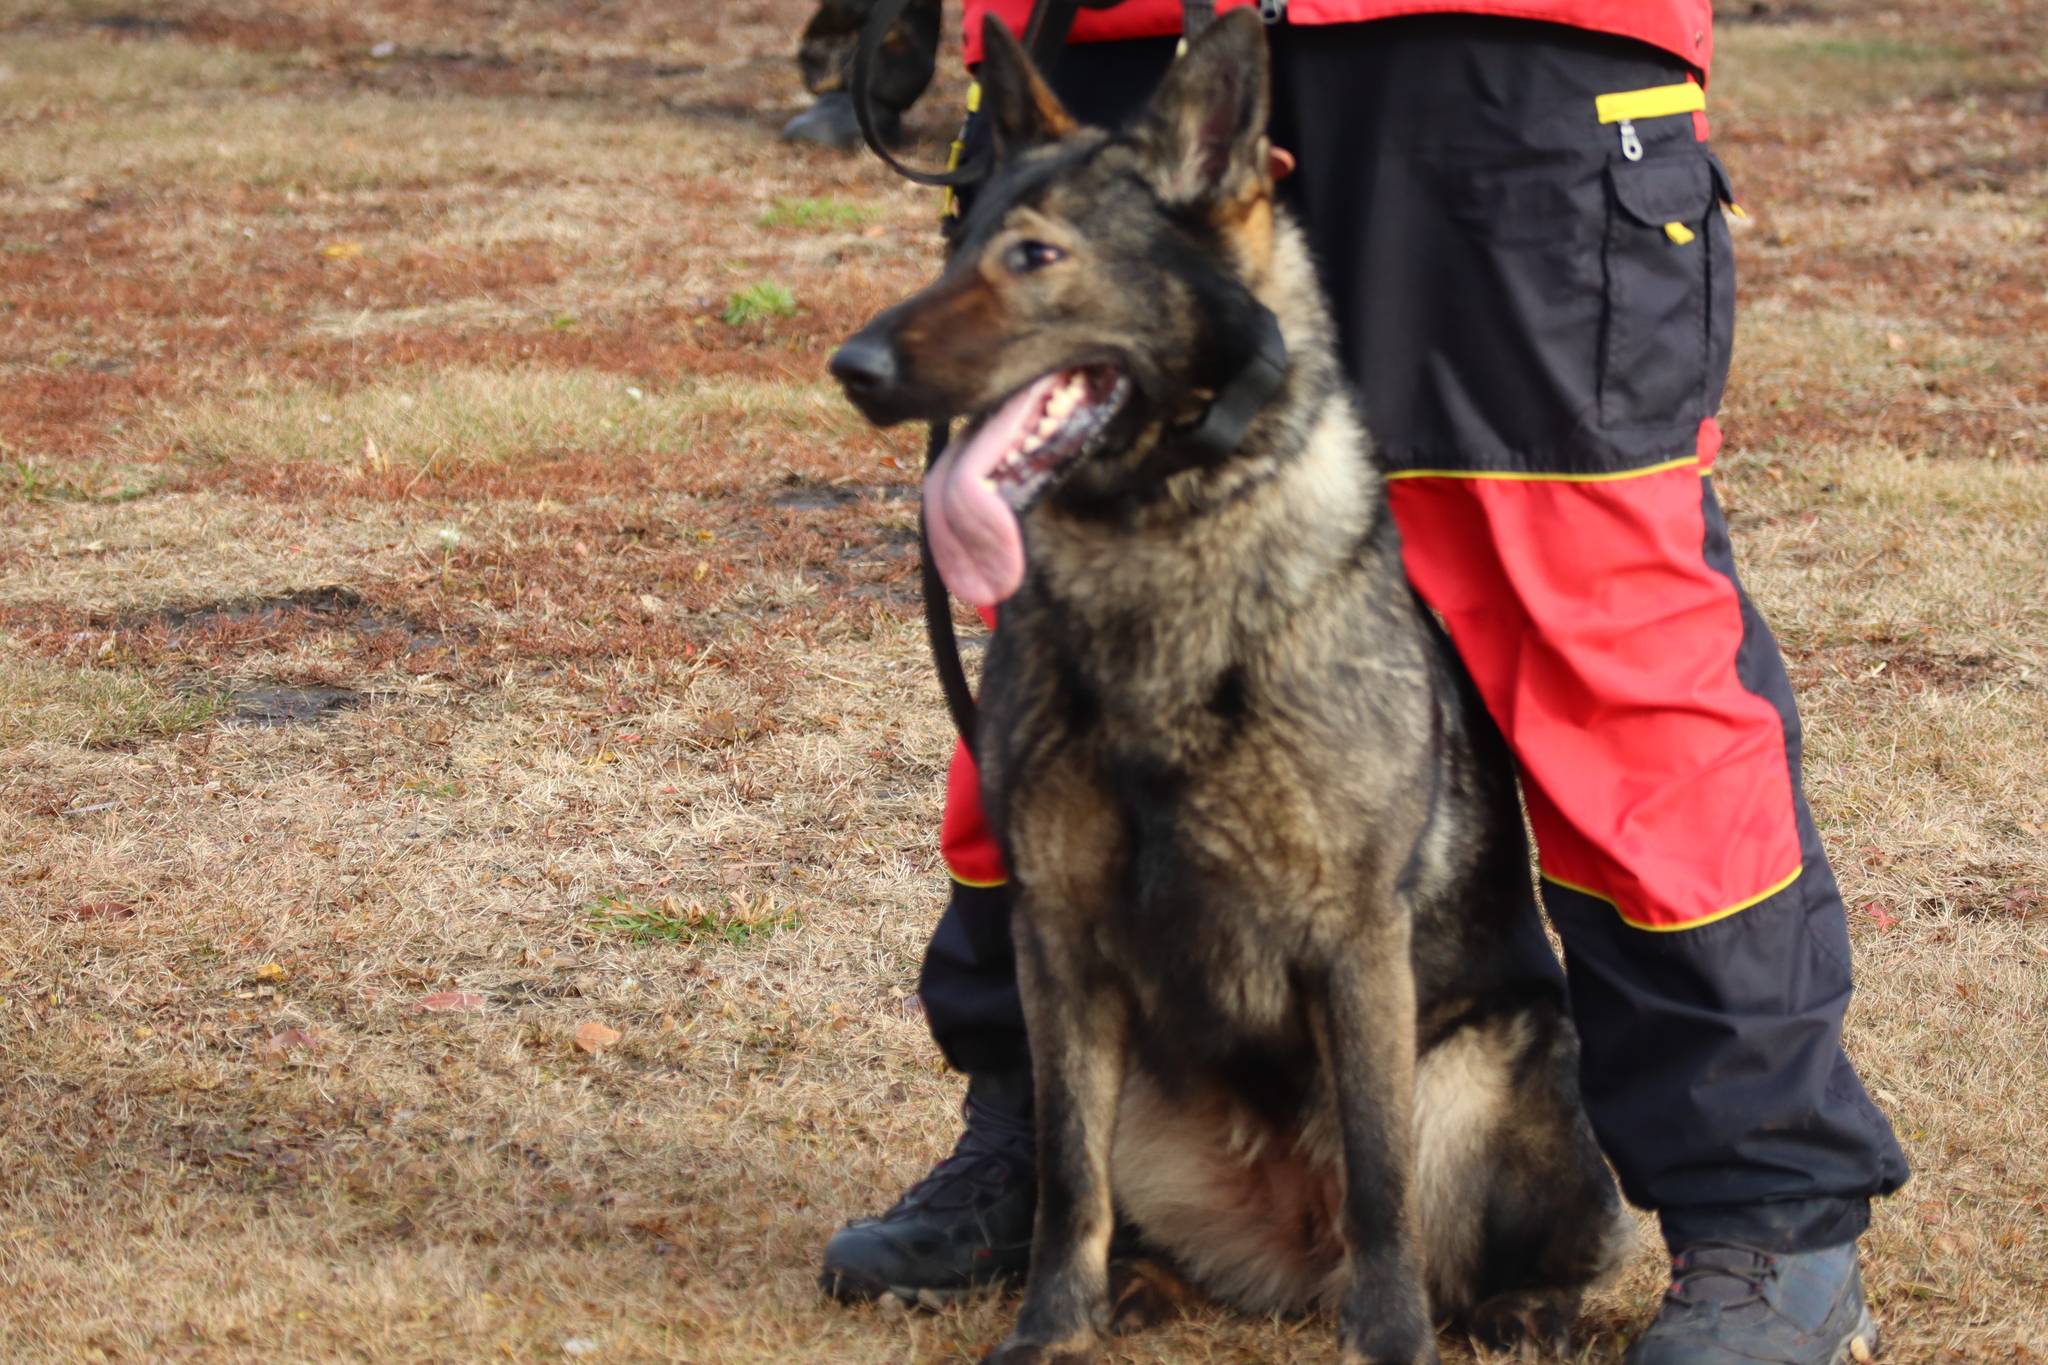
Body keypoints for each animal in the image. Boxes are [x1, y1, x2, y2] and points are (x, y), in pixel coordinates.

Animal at [823, 13, 1622, 1365]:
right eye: (960, 243)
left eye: (1037, 256)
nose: (852, 364)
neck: (1158, 555)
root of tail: (1291, 1258)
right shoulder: (1057, 941)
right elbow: (1066, 1182)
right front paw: (1049, 1333)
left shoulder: (1356, 945)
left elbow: (1379, 1186)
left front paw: (1391, 1346)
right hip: (1142, 1084)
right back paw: (1144, 1289)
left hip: (1475, 1072)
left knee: (1471, 1239)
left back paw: (1522, 1309)